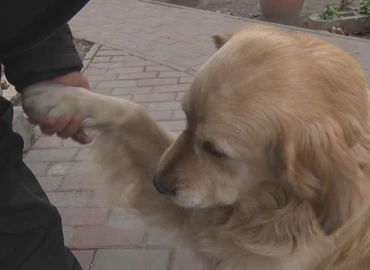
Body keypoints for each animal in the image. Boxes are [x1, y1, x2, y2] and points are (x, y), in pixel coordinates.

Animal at [21, 24, 370, 268]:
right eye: (186, 119)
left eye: (216, 150)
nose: (159, 184)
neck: (279, 205)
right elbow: (134, 111)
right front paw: (58, 97)